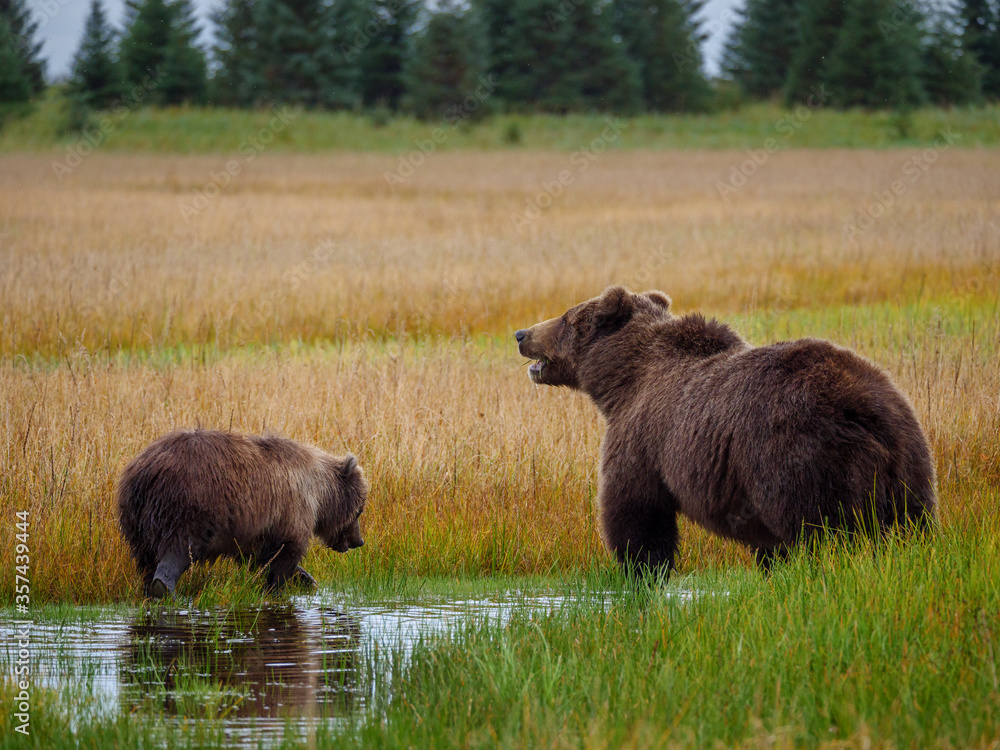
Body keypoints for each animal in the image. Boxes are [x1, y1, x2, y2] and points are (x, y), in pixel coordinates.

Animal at [116, 429, 368, 598]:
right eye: (360, 509)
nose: (359, 541)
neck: (318, 493)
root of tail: (144, 472)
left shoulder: (254, 528)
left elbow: (259, 557)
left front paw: (306, 579)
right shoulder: (291, 508)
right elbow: (285, 554)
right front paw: (279, 588)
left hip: (136, 518)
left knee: (145, 558)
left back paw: (149, 588)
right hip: (188, 507)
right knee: (178, 550)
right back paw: (164, 589)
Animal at [515, 286, 937, 574]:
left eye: (567, 318)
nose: (521, 334)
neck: (621, 382)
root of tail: (863, 407)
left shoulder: (642, 435)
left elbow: (636, 510)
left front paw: (641, 570)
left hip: (801, 456)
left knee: (821, 530)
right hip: (911, 461)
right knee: (914, 526)